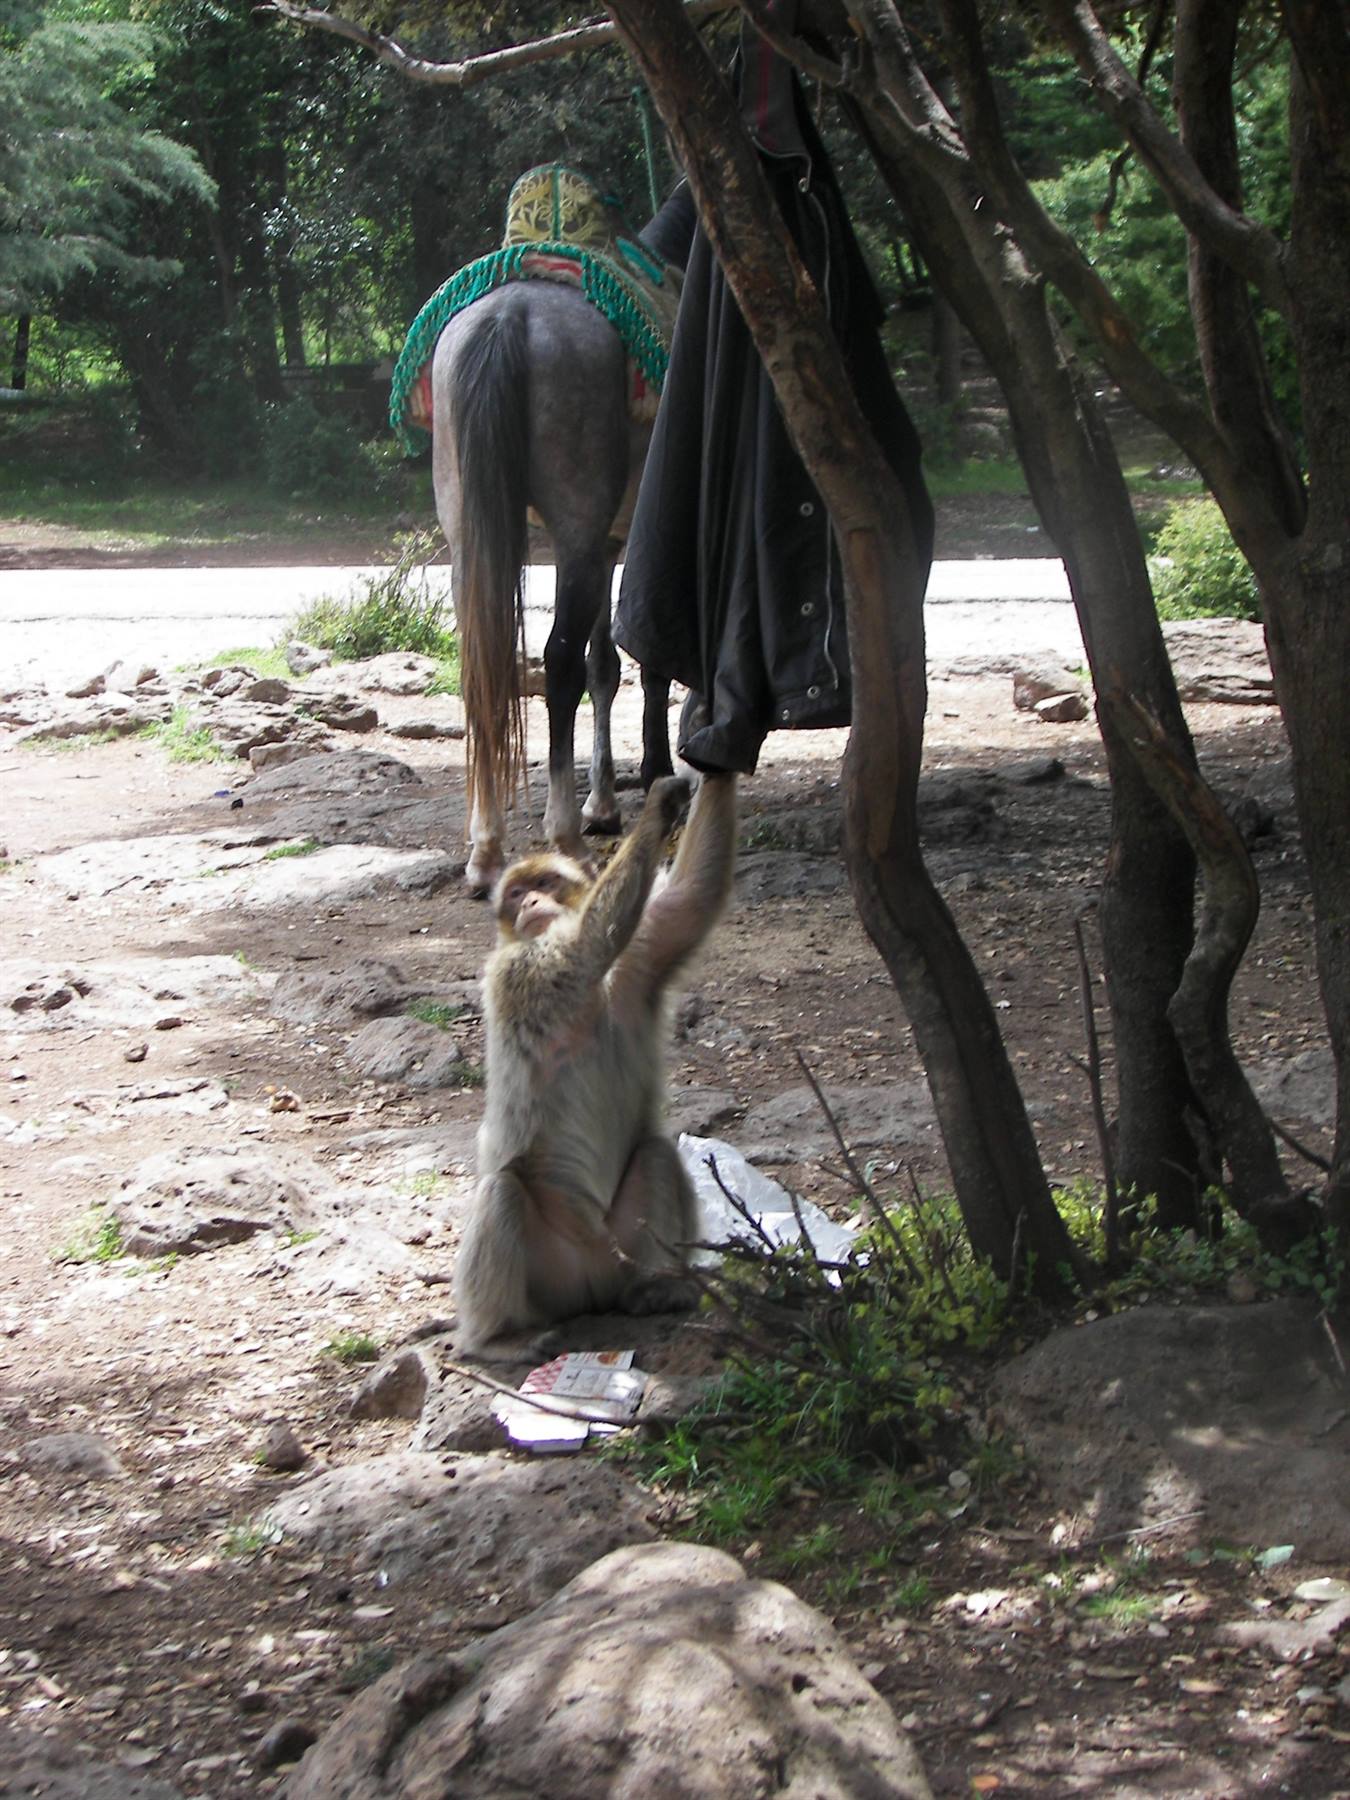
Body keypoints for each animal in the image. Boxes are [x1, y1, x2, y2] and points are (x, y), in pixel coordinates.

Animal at [431, 278, 675, 898]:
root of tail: (512, 313)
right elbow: (643, 658)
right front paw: (650, 774)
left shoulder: (610, 544)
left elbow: (606, 665)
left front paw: (605, 802)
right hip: (576, 529)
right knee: (560, 663)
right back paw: (565, 839)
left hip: (470, 535)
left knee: (481, 670)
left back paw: (487, 850)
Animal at [453, 771, 737, 1360]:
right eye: (514, 894)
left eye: (547, 881)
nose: (531, 899)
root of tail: (591, 1290)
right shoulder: (520, 970)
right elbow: (585, 947)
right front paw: (656, 810)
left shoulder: (638, 959)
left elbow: (689, 901)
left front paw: (716, 761)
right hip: (551, 1275)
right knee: (503, 1192)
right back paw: (495, 1338)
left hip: (617, 1252)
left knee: (655, 1151)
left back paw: (657, 1287)